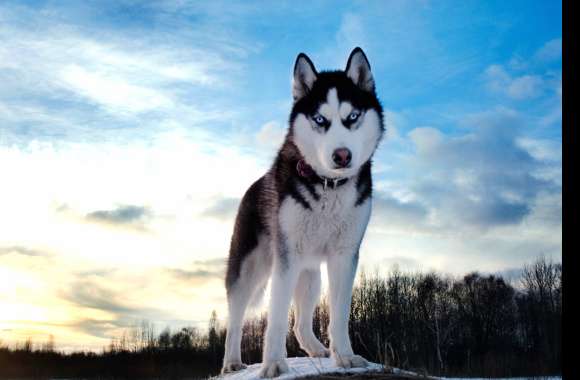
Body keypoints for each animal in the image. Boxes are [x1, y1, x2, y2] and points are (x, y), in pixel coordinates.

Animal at [220, 47, 382, 378]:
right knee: (236, 318)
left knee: (300, 323)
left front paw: (345, 356)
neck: (328, 186)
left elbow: (340, 314)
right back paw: (231, 361)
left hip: (309, 275)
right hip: (249, 270)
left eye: (353, 117)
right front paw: (272, 363)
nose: (342, 155)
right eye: (320, 119)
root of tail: (253, 187)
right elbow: (275, 317)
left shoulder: (344, 256)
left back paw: (317, 349)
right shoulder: (286, 258)